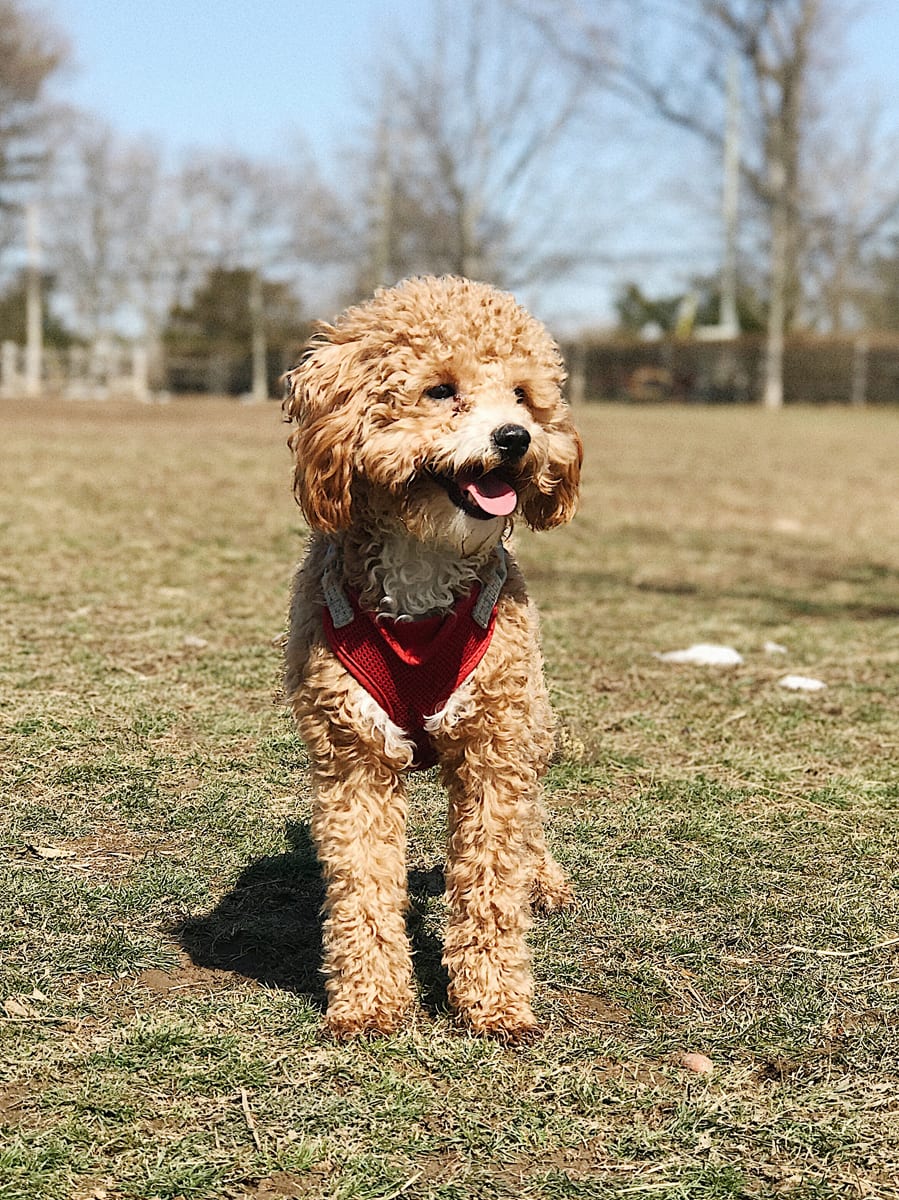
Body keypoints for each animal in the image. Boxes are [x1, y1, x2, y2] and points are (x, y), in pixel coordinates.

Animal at [284, 274, 585, 1041]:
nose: (517, 438)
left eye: (522, 394)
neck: (423, 560)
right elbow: (362, 887)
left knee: (532, 817)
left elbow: (490, 886)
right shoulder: (353, 754)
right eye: (440, 390)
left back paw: (542, 880)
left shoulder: (494, 749)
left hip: (531, 720)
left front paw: (495, 1003)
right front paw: (368, 1002)